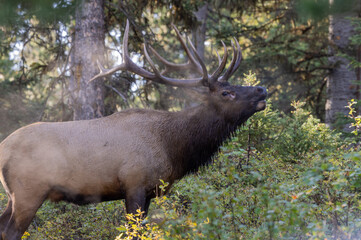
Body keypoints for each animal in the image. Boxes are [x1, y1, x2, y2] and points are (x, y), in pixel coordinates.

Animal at [0, 20, 266, 240]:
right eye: (226, 93)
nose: (262, 89)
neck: (172, 147)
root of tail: (4, 148)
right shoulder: (134, 183)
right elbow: (133, 232)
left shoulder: (149, 192)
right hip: (28, 192)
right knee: (12, 232)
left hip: (13, 196)